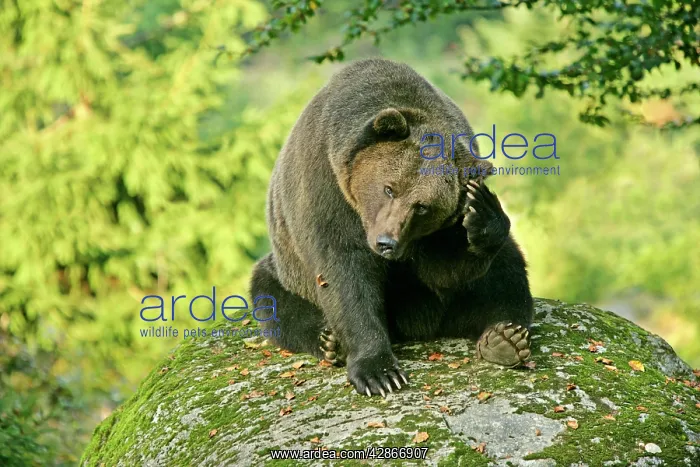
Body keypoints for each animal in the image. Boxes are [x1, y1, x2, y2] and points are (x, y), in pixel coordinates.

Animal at [250, 57, 534, 397]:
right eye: (389, 189)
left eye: (422, 206)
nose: (386, 242)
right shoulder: (326, 185)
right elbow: (343, 269)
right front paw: (380, 372)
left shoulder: (432, 233)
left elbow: (445, 270)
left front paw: (483, 212)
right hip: (286, 268)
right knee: (272, 299)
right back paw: (328, 341)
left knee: (507, 273)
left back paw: (504, 338)